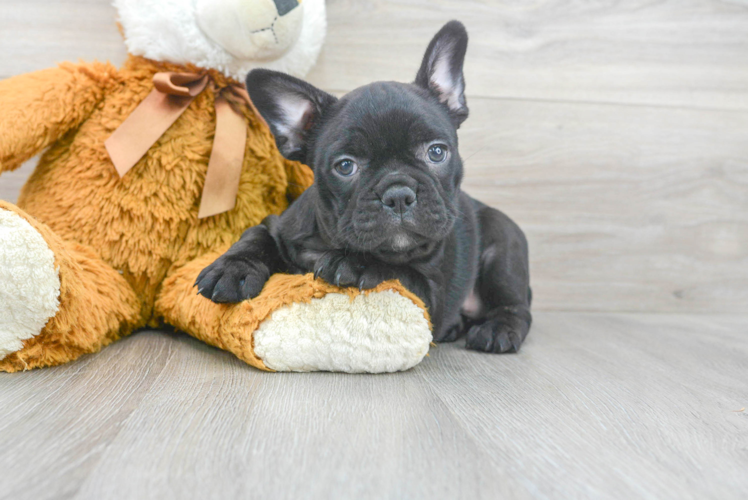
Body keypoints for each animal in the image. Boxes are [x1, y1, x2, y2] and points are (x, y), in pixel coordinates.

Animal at [194, 21, 532, 354]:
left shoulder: (431, 293)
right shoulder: (278, 225)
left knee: (516, 306)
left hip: (503, 244)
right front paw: (232, 268)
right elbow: (256, 234)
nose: (398, 194)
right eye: (345, 166)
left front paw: (357, 263)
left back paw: (497, 330)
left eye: (437, 152)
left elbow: (400, 270)